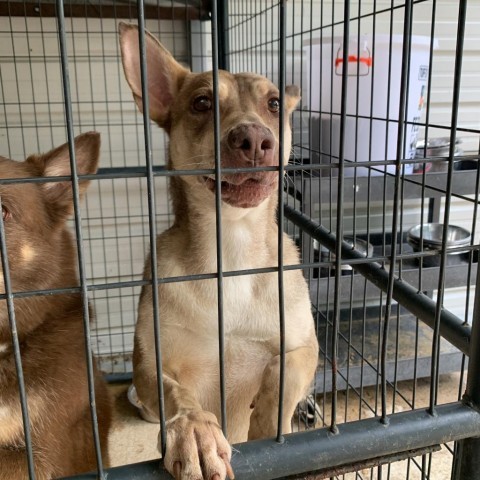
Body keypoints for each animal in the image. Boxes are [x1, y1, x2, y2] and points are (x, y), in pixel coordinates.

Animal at [119, 23, 318, 480]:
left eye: (274, 103)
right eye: (202, 102)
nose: (255, 139)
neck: (233, 248)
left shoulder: (306, 347)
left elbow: (282, 372)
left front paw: (267, 420)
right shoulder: (150, 366)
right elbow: (178, 396)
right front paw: (195, 432)